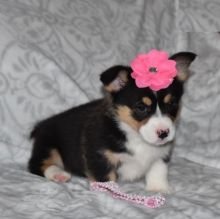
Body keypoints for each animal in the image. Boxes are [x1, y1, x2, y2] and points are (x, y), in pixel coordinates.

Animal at [27, 51, 196, 192]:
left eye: (172, 103)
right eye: (141, 107)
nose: (164, 133)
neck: (135, 136)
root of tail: (41, 125)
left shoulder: (161, 154)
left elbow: (158, 170)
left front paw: (159, 189)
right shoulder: (99, 156)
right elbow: (106, 179)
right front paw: (111, 194)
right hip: (49, 145)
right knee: (36, 164)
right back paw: (58, 174)